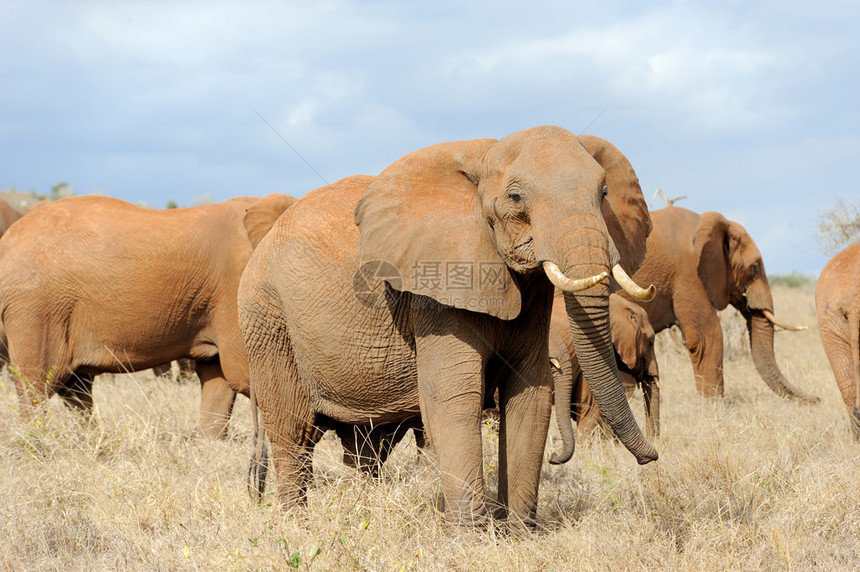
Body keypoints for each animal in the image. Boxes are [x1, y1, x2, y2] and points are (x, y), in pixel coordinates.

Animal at [0, 192, 296, 438]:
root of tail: (7, 241)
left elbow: (219, 379)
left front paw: (211, 447)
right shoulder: (235, 284)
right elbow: (242, 372)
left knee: (76, 389)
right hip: (37, 309)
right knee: (37, 385)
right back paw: (38, 442)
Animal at [239, 126, 656, 528]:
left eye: (603, 193)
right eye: (516, 197)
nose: (652, 456)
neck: (486, 155)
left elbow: (530, 392)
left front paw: (520, 534)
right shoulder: (436, 292)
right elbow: (454, 396)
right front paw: (469, 537)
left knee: (363, 447)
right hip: (269, 321)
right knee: (293, 433)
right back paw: (295, 526)